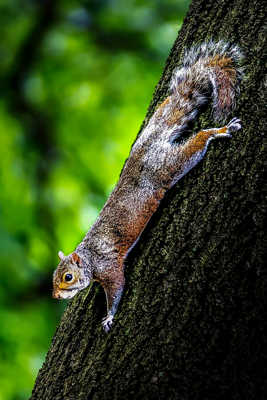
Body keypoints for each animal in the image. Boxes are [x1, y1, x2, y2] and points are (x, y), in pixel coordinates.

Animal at [52, 42, 245, 332]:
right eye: (54, 276)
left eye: (67, 277)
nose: (55, 295)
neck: (89, 258)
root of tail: (145, 148)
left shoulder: (109, 265)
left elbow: (117, 288)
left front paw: (109, 316)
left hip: (166, 166)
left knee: (196, 142)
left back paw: (218, 131)